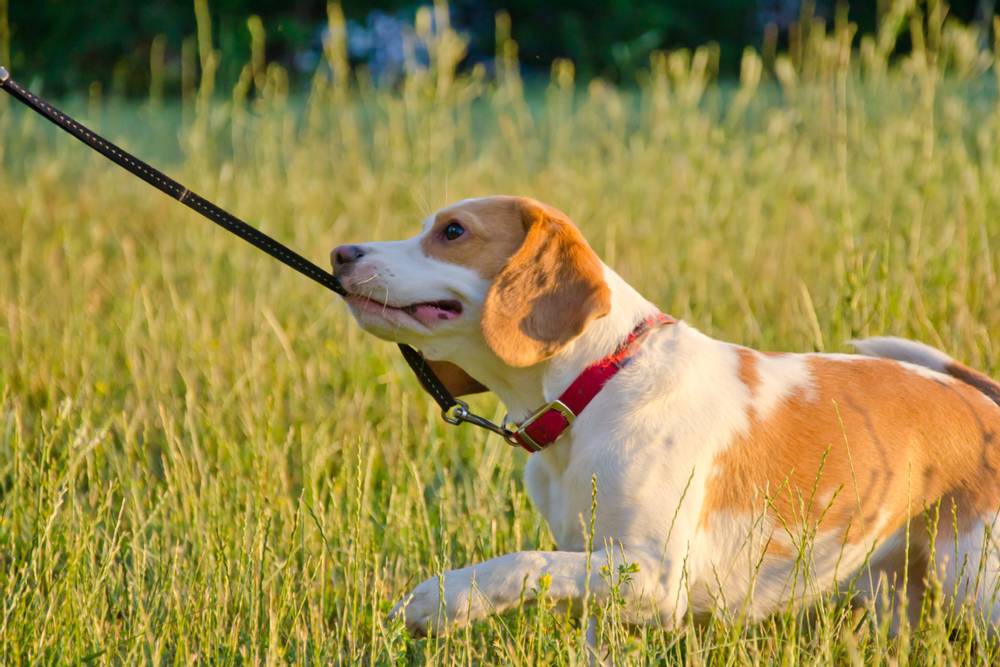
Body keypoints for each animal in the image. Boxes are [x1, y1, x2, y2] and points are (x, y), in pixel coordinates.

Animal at [332, 194, 1000, 636]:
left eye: (452, 231)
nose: (339, 253)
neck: (597, 384)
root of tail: (983, 406)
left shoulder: (653, 578)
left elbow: (517, 562)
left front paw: (441, 599)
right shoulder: (596, 568)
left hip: (975, 584)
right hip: (896, 595)